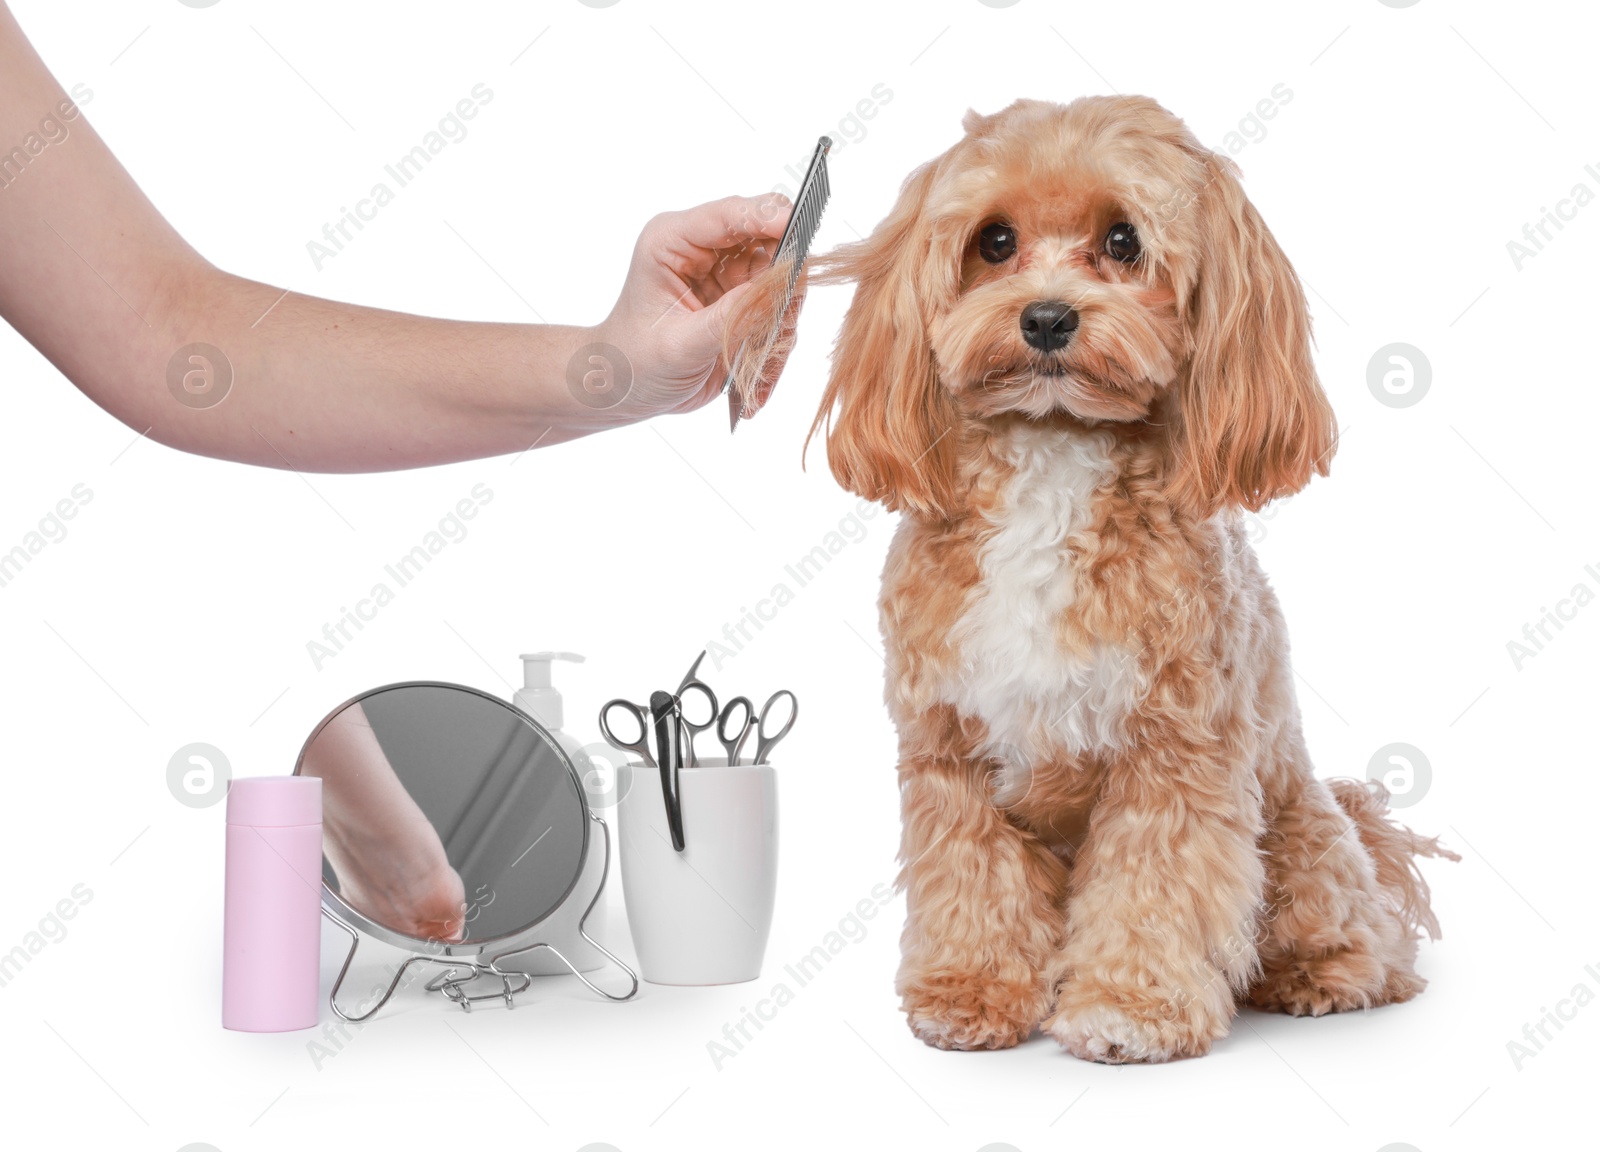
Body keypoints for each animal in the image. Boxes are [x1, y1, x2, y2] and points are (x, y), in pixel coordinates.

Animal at [806, 96, 1459, 1062]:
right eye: (994, 241)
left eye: (1123, 240)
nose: (1045, 318)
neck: (1054, 454)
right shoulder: (951, 752)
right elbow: (974, 882)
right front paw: (970, 993)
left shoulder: (1175, 756)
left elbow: (1153, 892)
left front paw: (1129, 1010)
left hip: (1298, 836)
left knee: (1365, 932)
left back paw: (1323, 976)